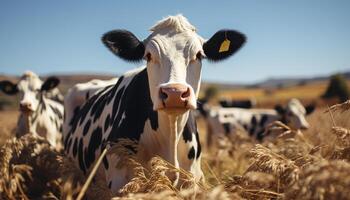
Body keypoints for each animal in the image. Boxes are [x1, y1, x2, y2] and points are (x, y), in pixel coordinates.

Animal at [63, 14, 247, 194]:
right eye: (148, 56)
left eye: (199, 55)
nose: (174, 93)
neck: (170, 139)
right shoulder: (120, 181)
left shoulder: (192, 181)